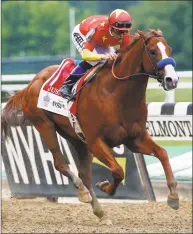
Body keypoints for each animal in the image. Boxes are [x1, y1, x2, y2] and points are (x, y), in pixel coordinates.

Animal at [1, 29, 179, 223]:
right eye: (153, 52)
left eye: (169, 49)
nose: (172, 79)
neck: (117, 94)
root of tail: (31, 83)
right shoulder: (96, 142)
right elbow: (118, 170)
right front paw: (105, 186)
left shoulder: (135, 138)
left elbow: (162, 153)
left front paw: (173, 197)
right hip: (44, 125)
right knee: (61, 164)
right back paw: (83, 192)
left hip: (76, 137)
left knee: (84, 174)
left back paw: (100, 212)